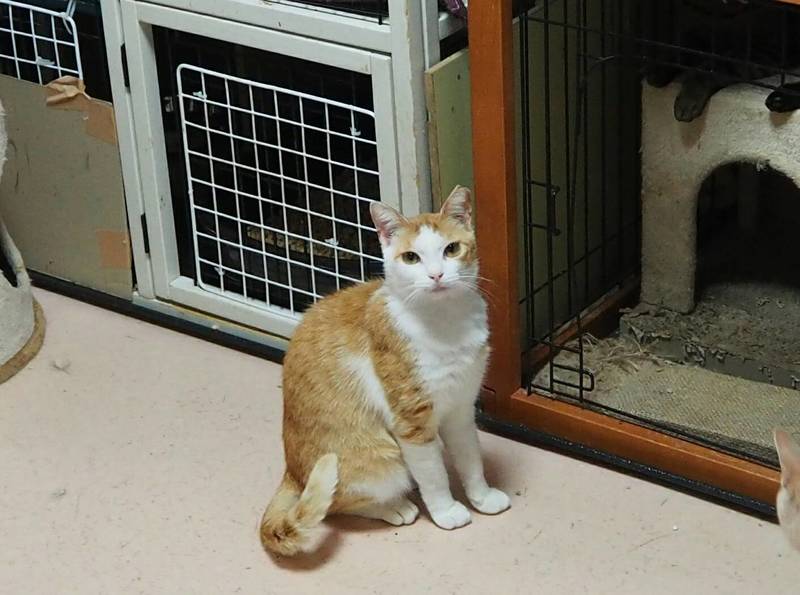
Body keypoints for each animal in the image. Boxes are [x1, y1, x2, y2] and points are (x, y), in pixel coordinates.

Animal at [259, 186, 510, 557]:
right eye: (411, 258)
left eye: (451, 249)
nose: (436, 275)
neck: (445, 323)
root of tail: (292, 470)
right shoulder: (412, 422)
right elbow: (434, 475)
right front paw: (446, 511)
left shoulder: (461, 409)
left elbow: (470, 459)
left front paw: (481, 497)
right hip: (381, 461)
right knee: (338, 503)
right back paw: (395, 507)